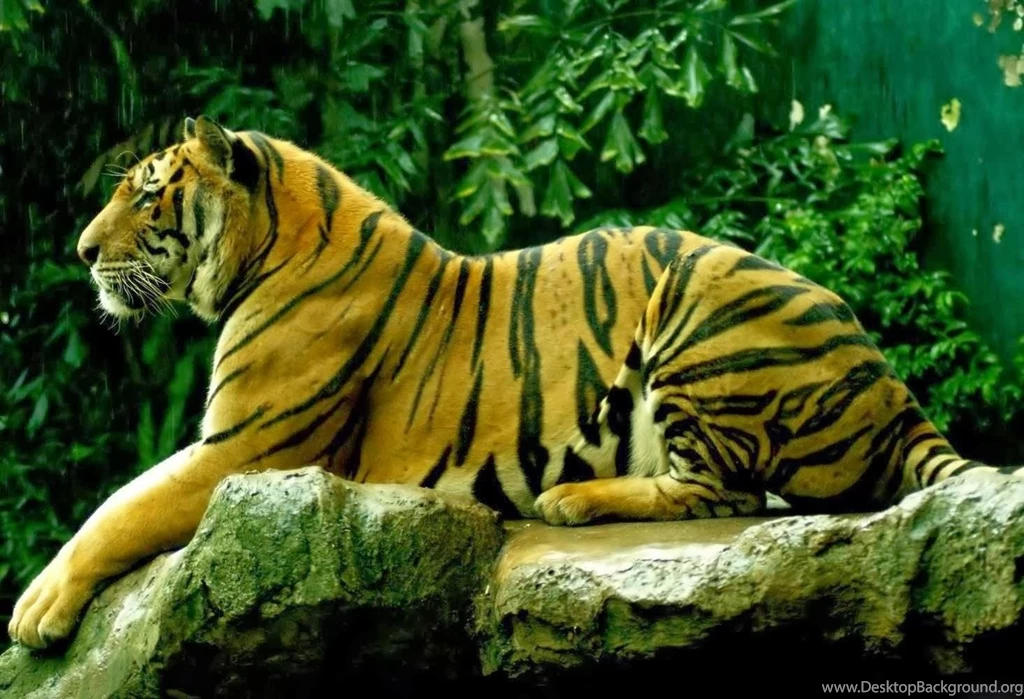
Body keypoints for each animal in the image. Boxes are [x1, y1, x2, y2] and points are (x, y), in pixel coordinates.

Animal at [8, 115, 1019, 650]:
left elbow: (118, 509)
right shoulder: (237, 447)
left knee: (727, 492)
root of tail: (892, 387)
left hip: (700, 296)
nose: (81, 252)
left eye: (148, 193)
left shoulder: (245, 449)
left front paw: (35, 609)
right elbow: (119, 502)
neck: (270, 247)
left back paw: (570, 500)